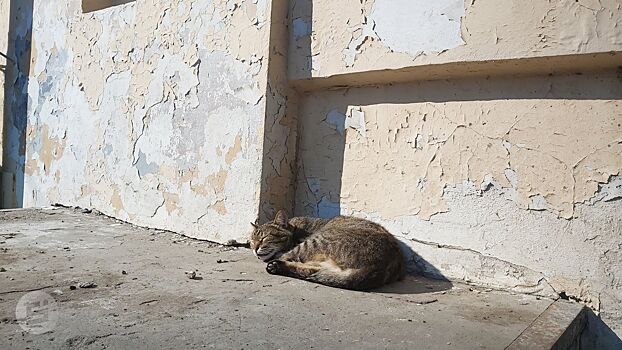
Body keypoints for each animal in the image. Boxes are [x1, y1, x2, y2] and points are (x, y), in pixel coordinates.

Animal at [251, 211, 408, 290]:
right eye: (252, 240)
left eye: (264, 238)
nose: (254, 248)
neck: (295, 228)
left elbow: (285, 253)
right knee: (311, 271)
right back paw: (277, 266)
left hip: (317, 241)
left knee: (293, 259)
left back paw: (275, 264)